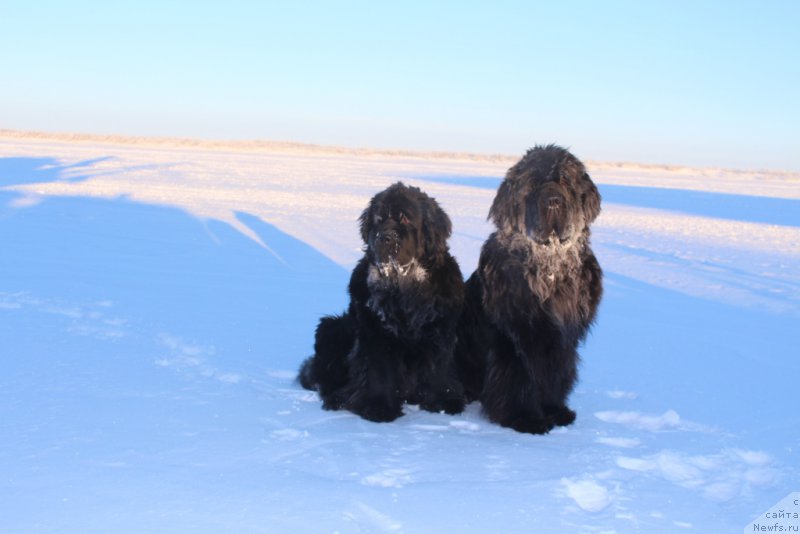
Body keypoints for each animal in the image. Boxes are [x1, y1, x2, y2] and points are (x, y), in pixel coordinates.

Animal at [298, 183, 462, 422]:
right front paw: (377, 407)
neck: (403, 285)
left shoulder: (440, 330)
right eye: (379, 219)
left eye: (405, 219)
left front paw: (443, 401)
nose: (384, 237)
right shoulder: (375, 333)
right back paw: (336, 398)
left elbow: (439, 366)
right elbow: (379, 371)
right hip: (332, 328)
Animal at [456, 146, 600, 436]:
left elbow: (555, 375)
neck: (550, 270)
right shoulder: (515, 339)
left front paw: (555, 410)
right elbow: (517, 379)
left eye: (565, 180)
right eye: (533, 184)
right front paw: (524, 418)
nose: (554, 200)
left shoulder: (562, 342)